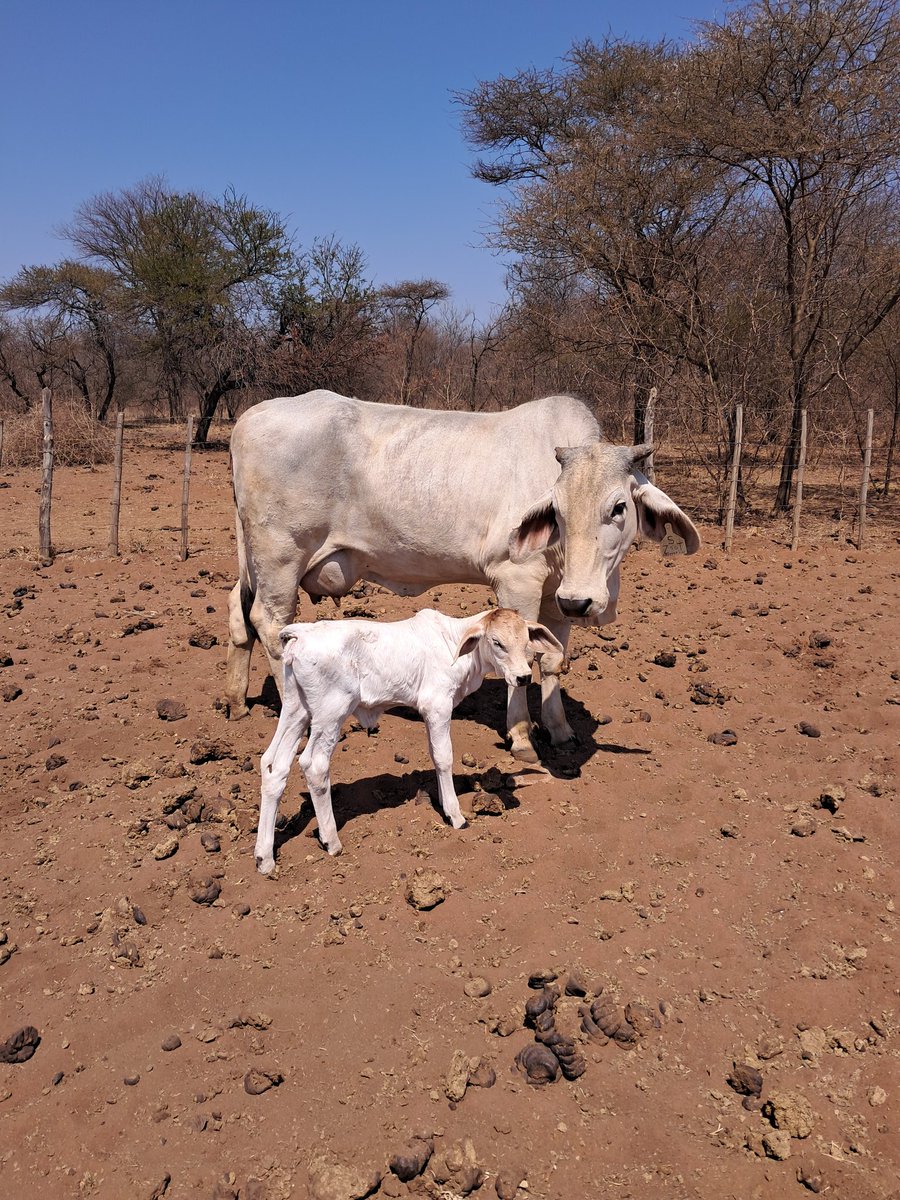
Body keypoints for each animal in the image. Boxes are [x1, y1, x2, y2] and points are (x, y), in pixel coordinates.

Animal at [227, 391, 700, 760]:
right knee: (270, 624)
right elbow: (521, 659)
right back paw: (297, 718)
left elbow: (551, 660)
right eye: (558, 511)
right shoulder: (517, 581)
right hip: (280, 557)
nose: (581, 600)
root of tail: (248, 418)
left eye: (619, 507)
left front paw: (560, 729)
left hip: (257, 560)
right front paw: (522, 736)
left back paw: (235, 701)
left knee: (238, 608)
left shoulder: (557, 597)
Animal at [255, 607, 564, 870]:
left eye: (526, 641)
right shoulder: (437, 705)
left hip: (296, 709)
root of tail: (302, 633)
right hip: (330, 712)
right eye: (497, 643)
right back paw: (331, 840)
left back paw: (264, 857)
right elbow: (443, 757)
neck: (454, 644)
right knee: (314, 765)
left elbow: (434, 754)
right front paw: (455, 815)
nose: (523, 677)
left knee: (273, 765)